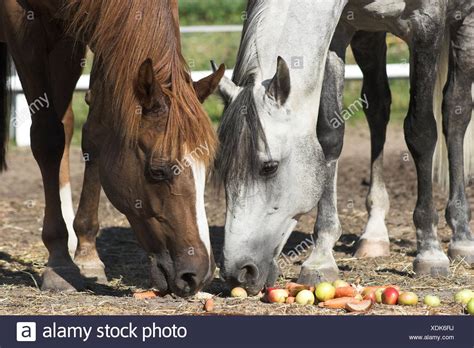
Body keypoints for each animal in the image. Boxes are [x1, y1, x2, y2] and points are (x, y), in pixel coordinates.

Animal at [0, 1, 225, 298]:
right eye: (158, 170)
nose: (198, 275)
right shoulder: (23, 23)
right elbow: (47, 138)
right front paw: (59, 263)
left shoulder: (85, 32)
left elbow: (95, 133)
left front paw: (86, 254)